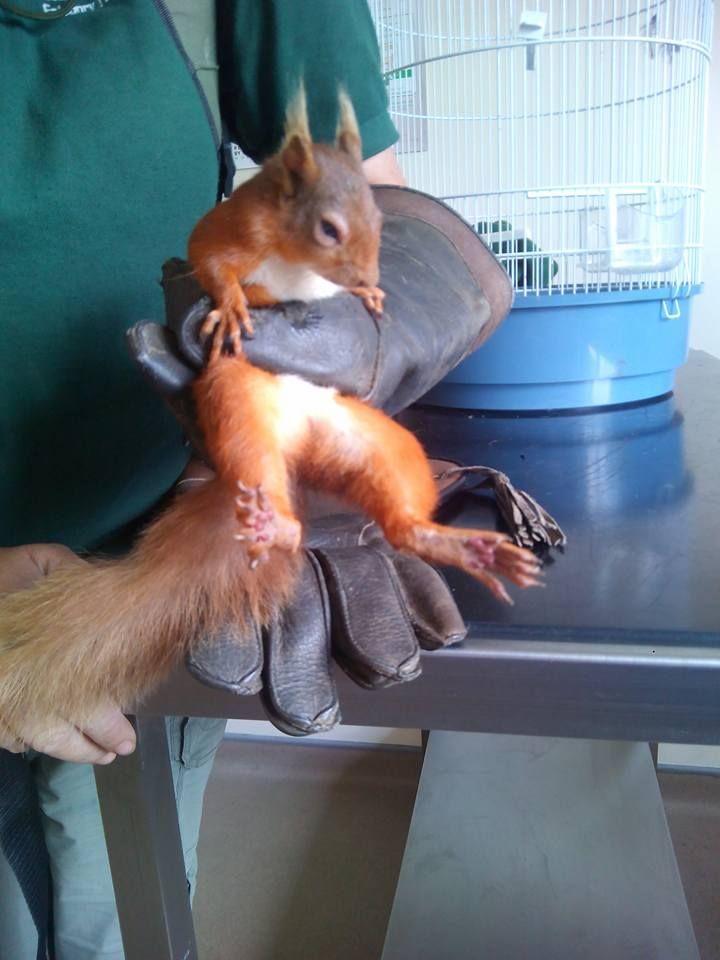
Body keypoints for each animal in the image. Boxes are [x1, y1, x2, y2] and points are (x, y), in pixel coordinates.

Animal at [0, 89, 542, 738]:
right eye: (328, 227)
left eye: (378, 216)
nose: (366, 274)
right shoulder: (234, 229)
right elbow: (207, 260)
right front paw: (230, 303)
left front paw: (370, 298)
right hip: (237, 407)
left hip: (377, 442)